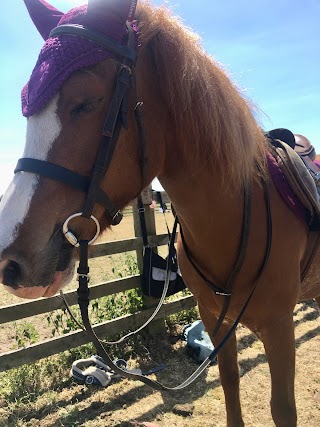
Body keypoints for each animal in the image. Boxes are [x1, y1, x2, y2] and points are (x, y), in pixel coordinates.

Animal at [0, 0, 318, 427]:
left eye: (85, 102)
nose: (10, 262)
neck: (235, 219)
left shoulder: (280, 329)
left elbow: (282, 408)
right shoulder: (215, 322)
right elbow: (230, 385)